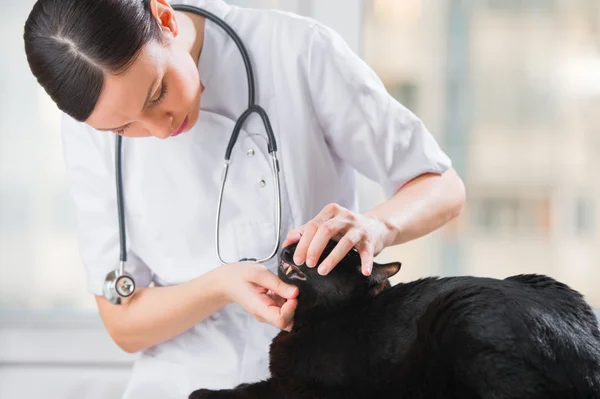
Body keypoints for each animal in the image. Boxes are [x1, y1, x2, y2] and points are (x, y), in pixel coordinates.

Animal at [191, 239, 600, 398]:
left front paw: (203, 392)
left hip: (464, 317)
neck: (316, 320)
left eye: (330, 251)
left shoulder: (302, 388)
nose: (290, 246)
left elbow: (248, 389)